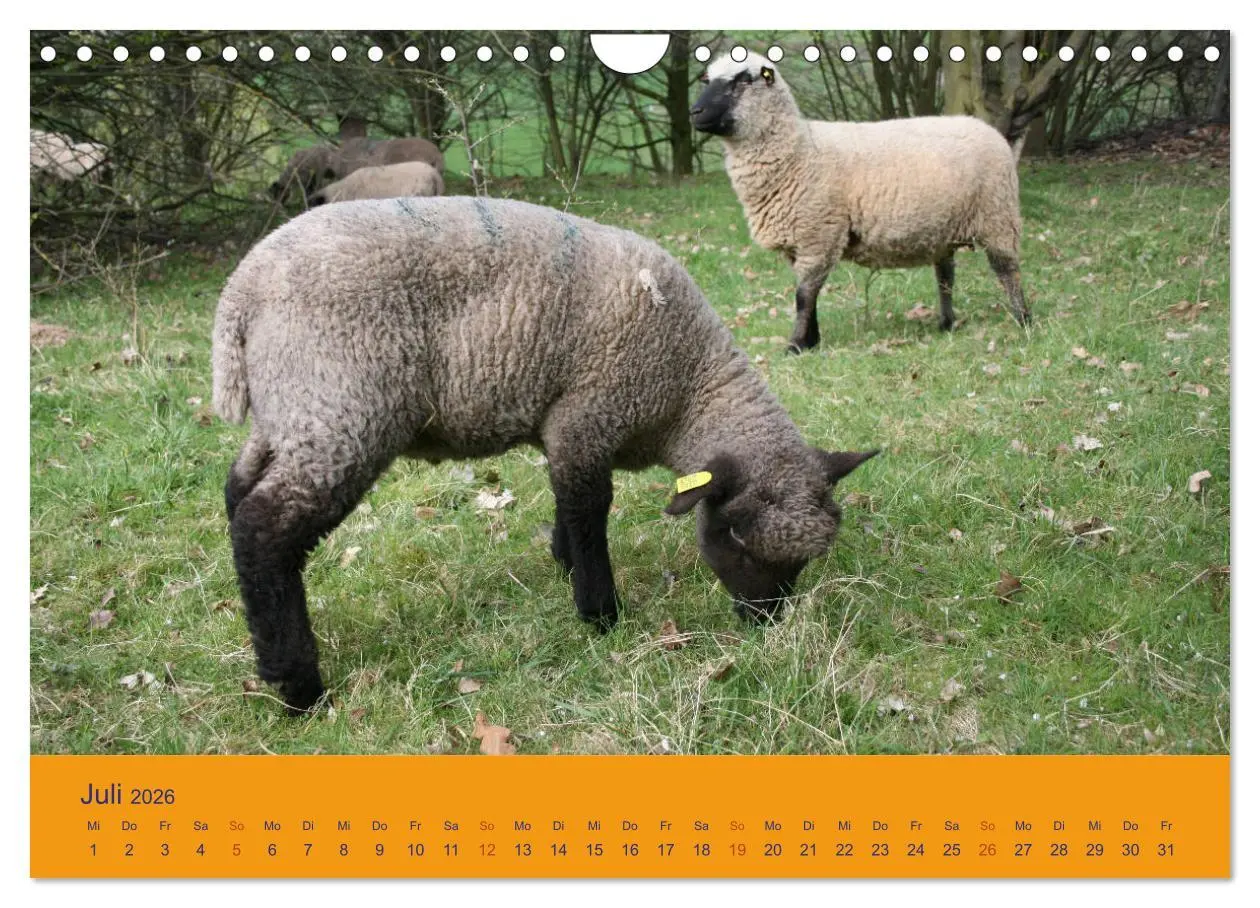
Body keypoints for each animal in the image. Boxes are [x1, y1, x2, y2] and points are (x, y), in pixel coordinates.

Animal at [212, 196, 878, 712]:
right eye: (735, 535)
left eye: (802, 564)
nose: (765, 623)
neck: (688, 388)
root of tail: (240, 292)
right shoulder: (591, 412)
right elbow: (590, 512)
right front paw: (600, 613)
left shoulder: (565, 426)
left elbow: (569, 504)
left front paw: (564, 565)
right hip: (341, 406)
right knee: (264, 529)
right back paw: (298, 688)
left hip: (292, 413)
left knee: (237, 493)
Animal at [690, 51, 1031, 352]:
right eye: (707, 78)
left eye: (742, 80)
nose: (694, 112)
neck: (800, 149)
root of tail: (989, 130)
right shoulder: (800, 242)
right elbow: (809, 296)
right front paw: (811, 342)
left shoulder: (818, 233)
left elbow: (803, 296)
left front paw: (796, 345)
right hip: (944, 229)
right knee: (945, 276)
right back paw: (946, 323)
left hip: (998, 216)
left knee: (1008, 270)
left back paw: (1023, 320)